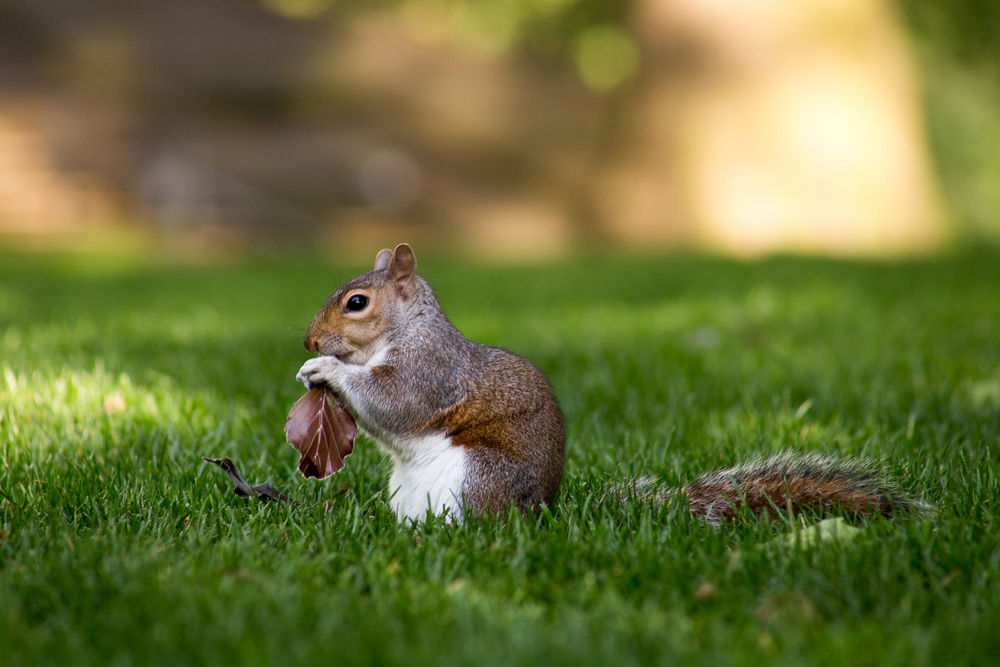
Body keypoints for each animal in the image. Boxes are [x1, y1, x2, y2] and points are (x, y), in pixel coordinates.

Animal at [292, 243, 924, 524]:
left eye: (356, 303)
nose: (307, 341)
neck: (402, 332)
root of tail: (541, 514)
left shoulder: (431, 370)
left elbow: (395, 403)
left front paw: (329, 372)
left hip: (478, 479)